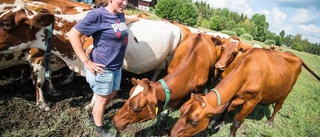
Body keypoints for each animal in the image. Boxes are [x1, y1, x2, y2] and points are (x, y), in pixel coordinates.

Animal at [171, 48, 320, 137]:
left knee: (278, 106)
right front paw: (218, 122)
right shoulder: (234, 98)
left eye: (194, 121)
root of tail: (294, 55)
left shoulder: (252, 102)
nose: (172, 134)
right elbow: (225, 110)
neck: (247, 71)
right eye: (181, 111)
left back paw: (270, 121)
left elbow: (237, 122)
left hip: (286, 91)